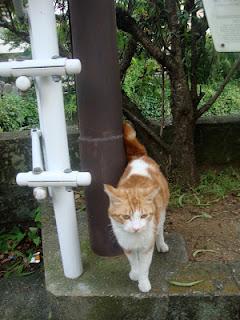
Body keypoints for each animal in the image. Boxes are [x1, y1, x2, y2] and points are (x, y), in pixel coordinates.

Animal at [104, 122, 170, 292]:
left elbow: (144, 266)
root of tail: (139, 157)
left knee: (160, 229)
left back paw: (161, 244)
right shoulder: (126, 246)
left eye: (144, 216)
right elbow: (134, 261)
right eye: (126, 216)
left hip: (162, 212)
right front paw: (135, 273)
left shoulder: (147, 247)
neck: (135, 238)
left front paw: (143, 282)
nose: (136, 228)